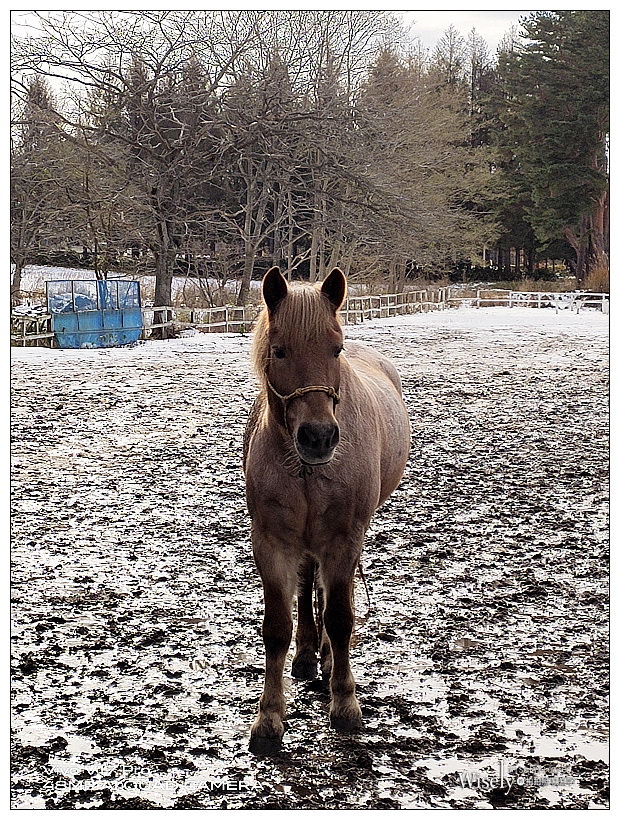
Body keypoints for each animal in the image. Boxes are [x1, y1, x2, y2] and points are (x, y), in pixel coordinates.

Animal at [243, 266, 410, 754]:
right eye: (279, 350)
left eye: (334, 349)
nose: (318, 437)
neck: (307, 470)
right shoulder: (273, 542)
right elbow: (277, 627)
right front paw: (269, 719)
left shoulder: (343, 538)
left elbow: (340, 617)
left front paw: (345, 704)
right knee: (307, 588)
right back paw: (307, 656)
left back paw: (330, 660)